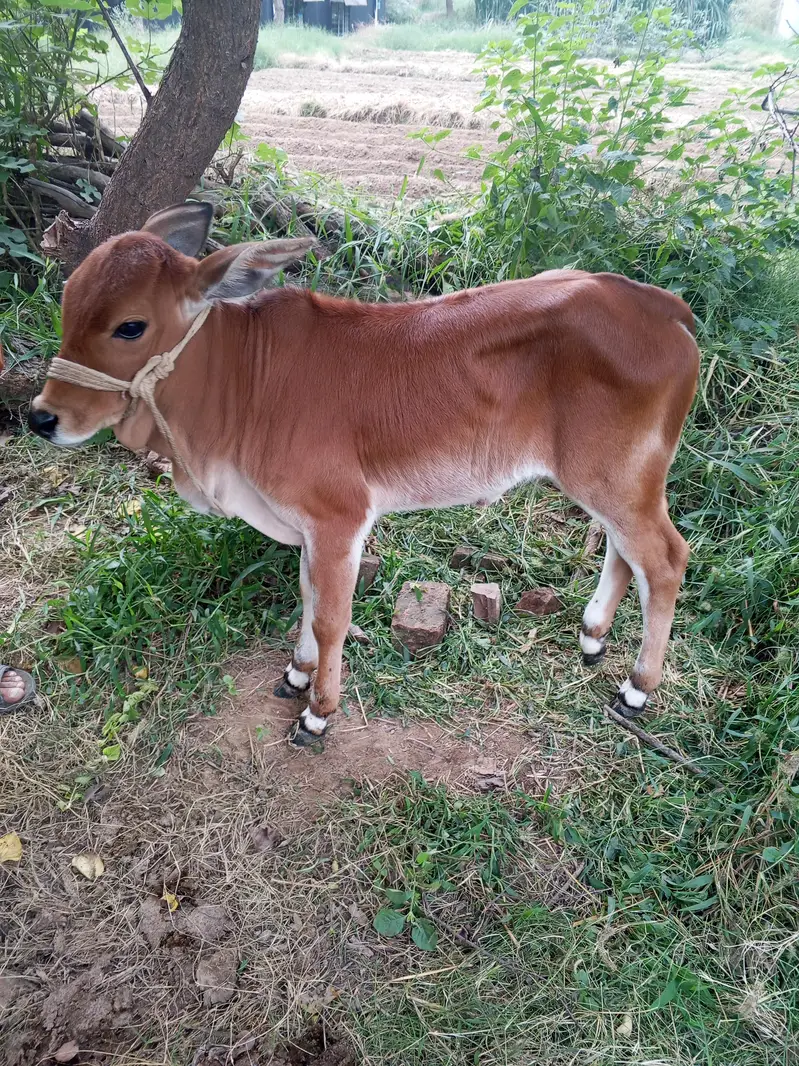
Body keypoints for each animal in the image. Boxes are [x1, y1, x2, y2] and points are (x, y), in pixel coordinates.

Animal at [29, 201, 699, 747]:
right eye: (67, 303)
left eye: (130, 326)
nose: (41, 417)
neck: (244, 378)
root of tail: (658, 304)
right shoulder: (306, 526)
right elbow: (307, 597)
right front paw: (297, 674)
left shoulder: (338, 519)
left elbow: (331, 617)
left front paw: (318, 713)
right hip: (614, 484)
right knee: (625, 552)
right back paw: (593, 636)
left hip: (615, 478)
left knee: (665, 559)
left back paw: (638, 687)